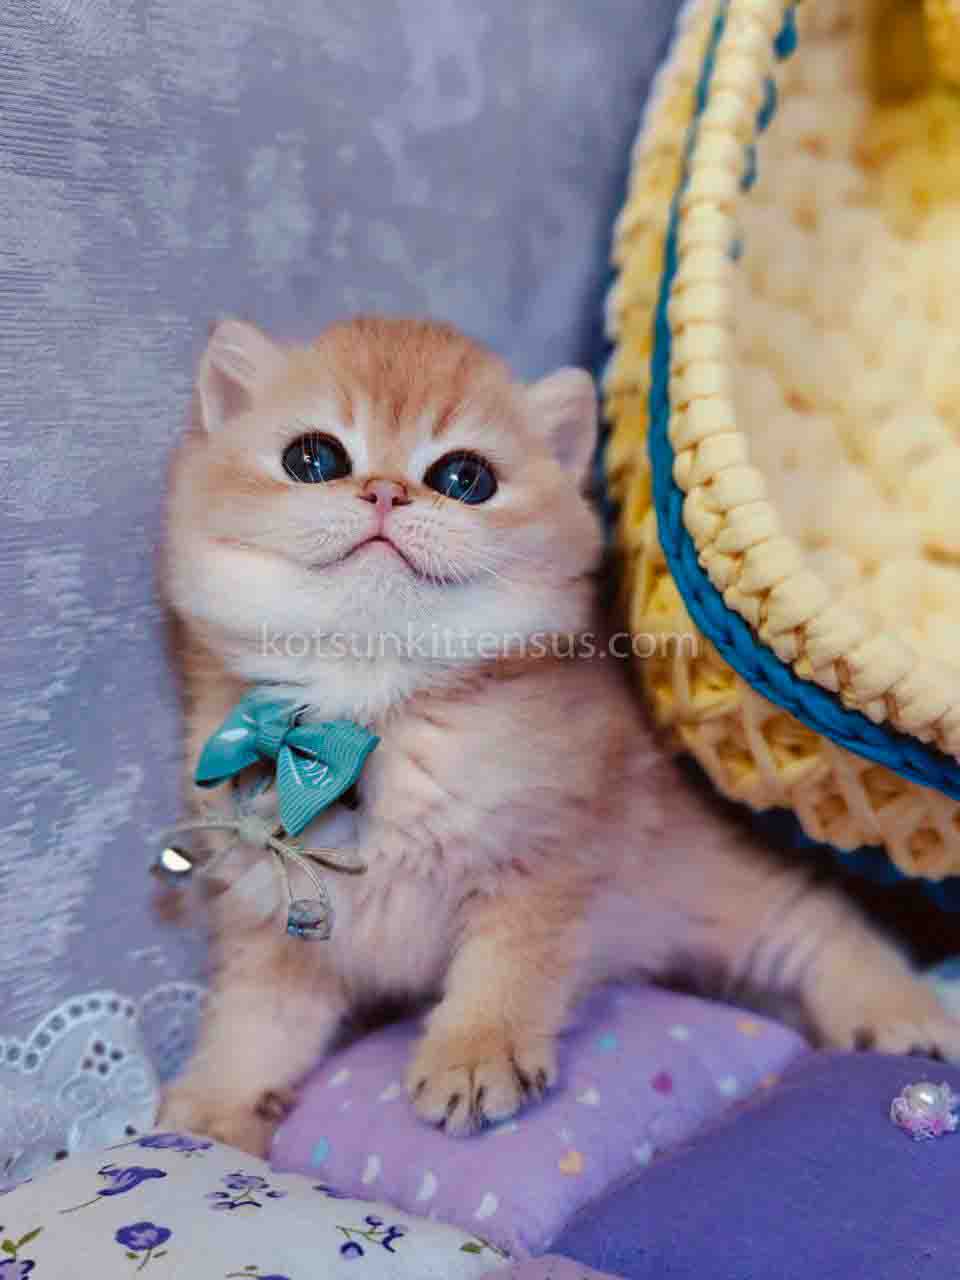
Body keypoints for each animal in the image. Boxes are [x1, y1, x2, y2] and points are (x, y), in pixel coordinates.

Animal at [158, 314, 960, 1156]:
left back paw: (899, 1012)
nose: (384, 490)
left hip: (711, 887)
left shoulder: (546, 861)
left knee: (814, 922)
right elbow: (257, 1020)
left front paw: (475, 1052)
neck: (369, 716)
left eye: (464, 478)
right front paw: (216, 1107)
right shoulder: (274, 921)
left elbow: (507, 966)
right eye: (312, 460)